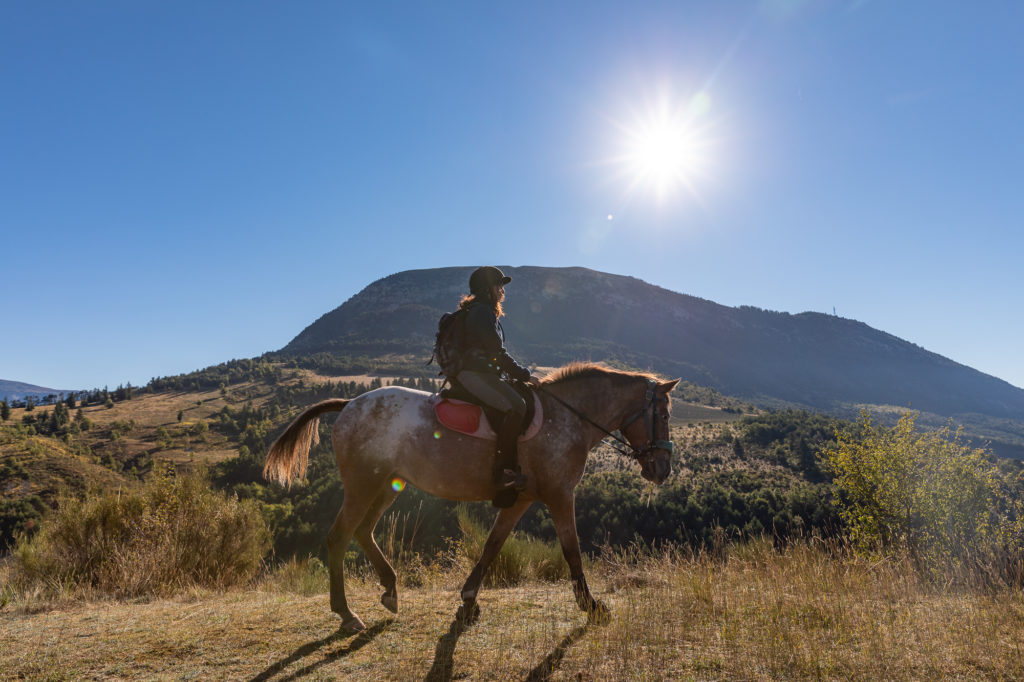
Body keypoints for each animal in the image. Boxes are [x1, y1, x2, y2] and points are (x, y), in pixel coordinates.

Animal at [264, 360, 679, 630]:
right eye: (663, 414)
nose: (662, 469)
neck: (567, 418)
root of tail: (349, 404)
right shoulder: (560, 495)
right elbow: (572, 551)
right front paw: (591, 607)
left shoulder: (521, 499)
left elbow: (492, 545)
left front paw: (467, 602)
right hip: (363, 484)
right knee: (339, 537)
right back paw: (347, 614)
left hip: (388, 485)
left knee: (363, 532)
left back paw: (390, 591)